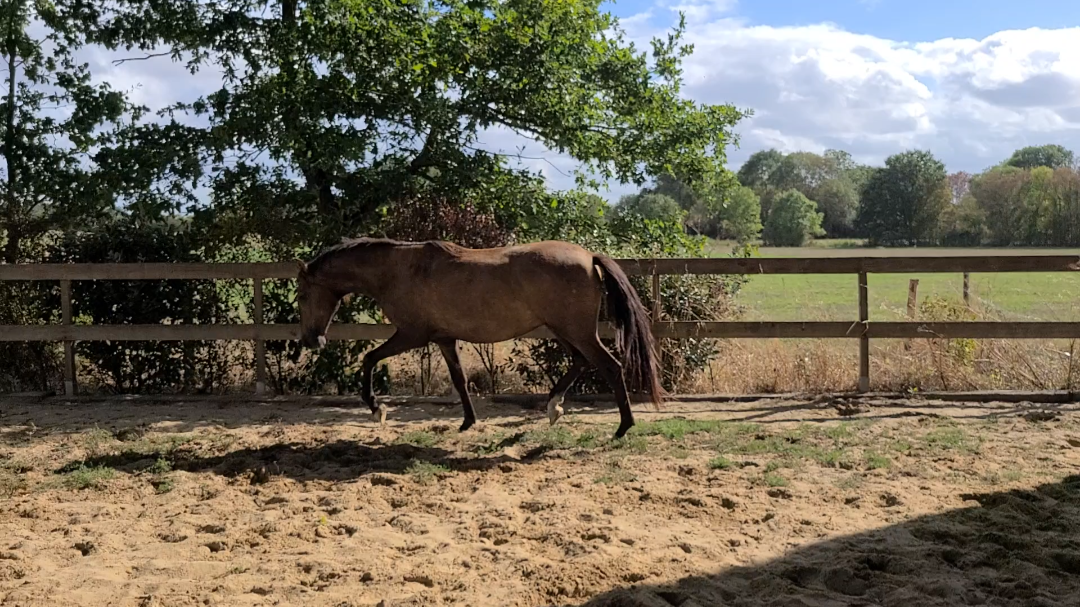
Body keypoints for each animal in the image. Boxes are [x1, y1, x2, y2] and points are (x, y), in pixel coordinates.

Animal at [294, 237, 664, 438]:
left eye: (301, 295)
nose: (312, 340)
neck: (397, 270)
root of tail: (589, 257)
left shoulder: (412, 334)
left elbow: (369, 358)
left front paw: (377, 409)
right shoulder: (444, 339)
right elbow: (459, 380)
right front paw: (468, 422)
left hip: (577, 330)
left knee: (610, 366)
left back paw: (623, 426)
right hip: (564, 330)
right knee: (581, 362)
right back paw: (553, 406)